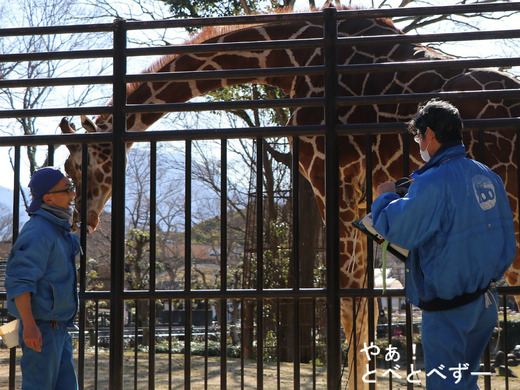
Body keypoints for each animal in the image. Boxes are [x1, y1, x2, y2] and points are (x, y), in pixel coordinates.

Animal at [59, 5, 520, 386]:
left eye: (76, 165)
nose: (84, 218)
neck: (294, 60)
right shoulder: (360, 194)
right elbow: (365, 305)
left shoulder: (330, 178)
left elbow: (351, 303)